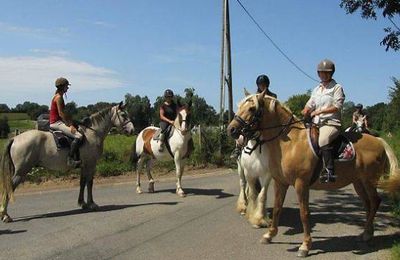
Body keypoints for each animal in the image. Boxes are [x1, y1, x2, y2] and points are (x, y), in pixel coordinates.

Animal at [0, 101, 134, 221]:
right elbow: (90, 183)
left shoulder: (84, 165)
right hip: (21, 172)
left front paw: (82, 203)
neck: (91, 133)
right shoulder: (91, 164)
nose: (132, 130)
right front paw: (91, 204)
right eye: (123, 115)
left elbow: (82, 183)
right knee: (9, 188)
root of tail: (15, 138)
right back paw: (5, 215)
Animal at [228, 90, 400, 256]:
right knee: (368, 204)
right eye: (239, 106)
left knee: (375, 202)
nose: (231, 129)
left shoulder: (301, 184)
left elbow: (304, 213)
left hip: (370, 181)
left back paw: (366, 234)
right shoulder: (280, 182)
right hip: (359, 182)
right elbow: (277, 208)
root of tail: (379, 141)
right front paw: (269, 235)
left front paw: (305, 246)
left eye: (252, 108)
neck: (290, 143)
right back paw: (367, 233)